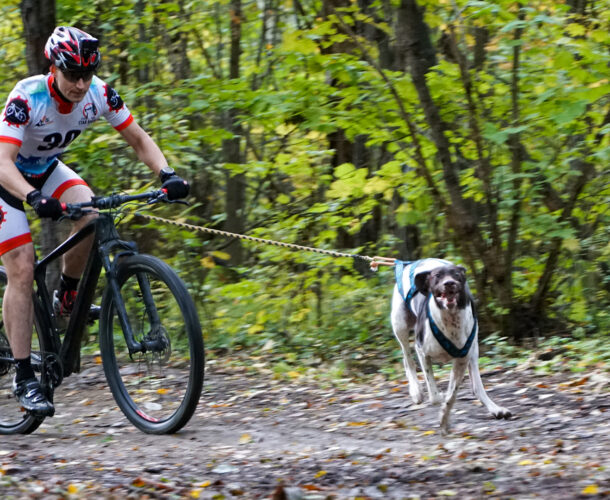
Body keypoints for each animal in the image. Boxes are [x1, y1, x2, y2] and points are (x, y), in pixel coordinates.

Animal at [390, 258, 508, 434]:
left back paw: (495, 408)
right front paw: (438, 400)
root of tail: (409, 263)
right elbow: (434, 394)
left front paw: (444, 420)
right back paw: (416, 391)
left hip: (473, 350)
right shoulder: (422, 351)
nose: (449, 283)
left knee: (477, 387)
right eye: (437, 276)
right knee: (407, 359)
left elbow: (451, 396)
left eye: (457, 274)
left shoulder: (462, 359)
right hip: (400, 327)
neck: (451, 320)